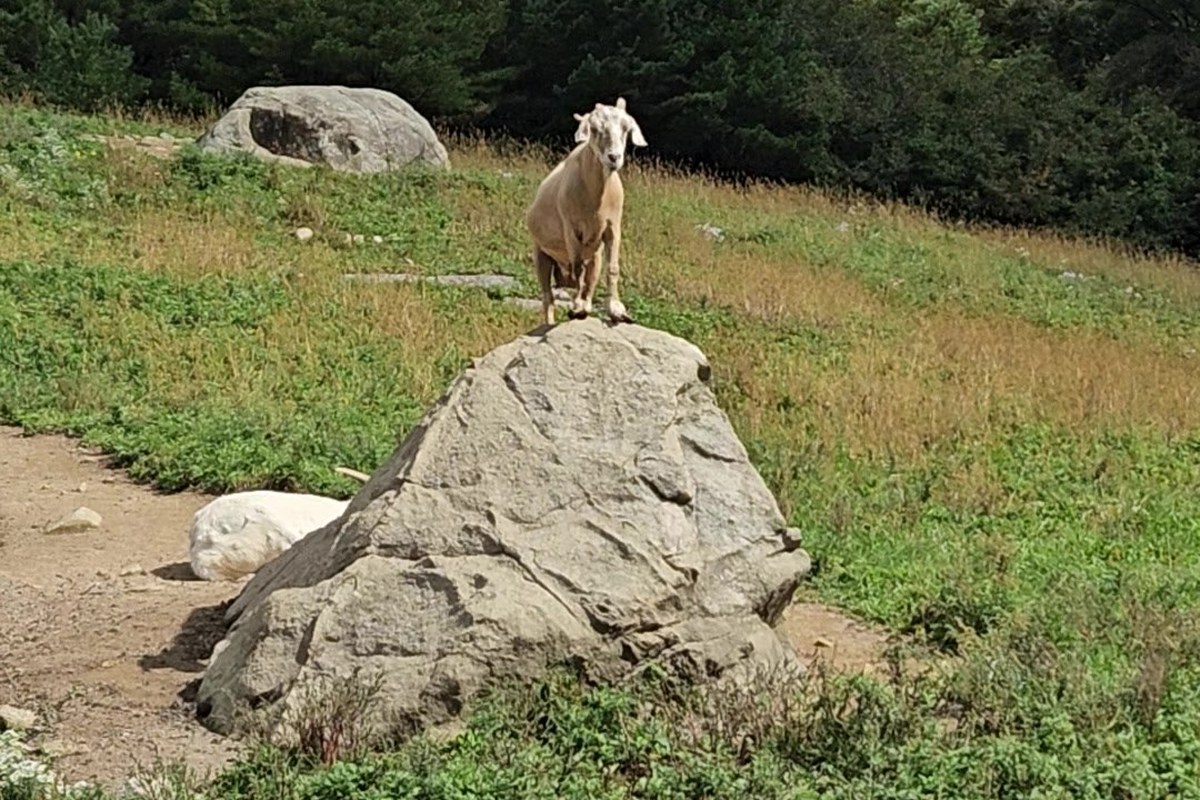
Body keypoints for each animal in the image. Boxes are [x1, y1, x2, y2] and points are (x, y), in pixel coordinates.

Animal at [525, 98, 647, 325]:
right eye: (594, 129)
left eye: (626, 128)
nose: (613, 157)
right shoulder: (572, 229)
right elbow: (578, 267)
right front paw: (577, 308)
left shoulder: (613, 227)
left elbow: (613, 268)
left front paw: (617, 310)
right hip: (541, 253)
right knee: (548, 298)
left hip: (595, 255)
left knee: (589, 280)